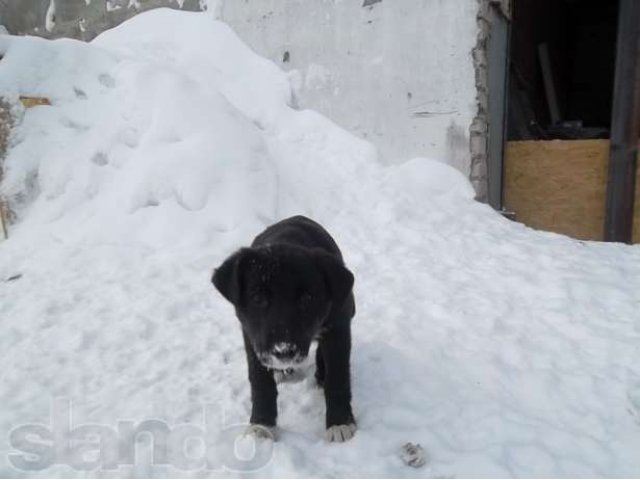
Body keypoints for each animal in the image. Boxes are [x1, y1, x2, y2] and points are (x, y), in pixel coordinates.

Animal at [214, 216, 356, 440]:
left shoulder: (339, 329)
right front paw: (262, 425)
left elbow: (338, 375)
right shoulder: (252, 337)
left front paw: (339, 423)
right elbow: (260, 382)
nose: (283, 350)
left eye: (307, 298)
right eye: (257, 298)